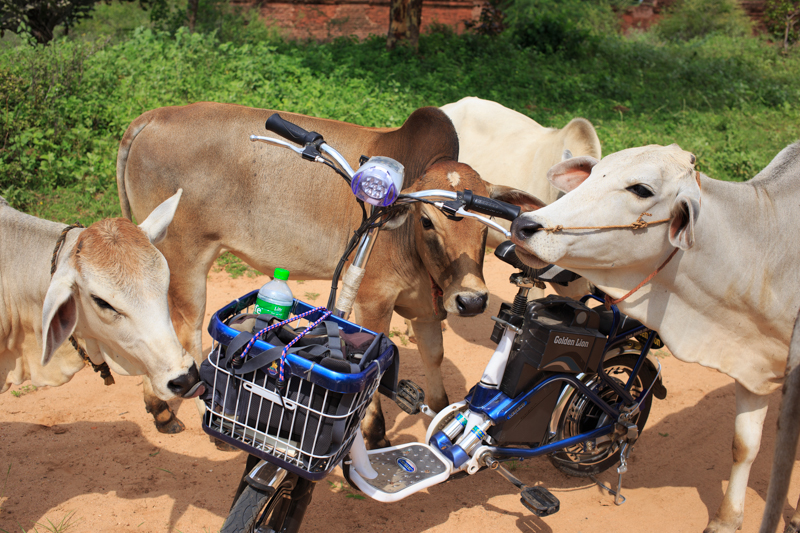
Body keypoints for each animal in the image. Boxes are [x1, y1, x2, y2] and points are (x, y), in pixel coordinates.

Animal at [117, 103, 544, 444]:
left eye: (486, 227)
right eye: (427, 221)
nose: (471, 300)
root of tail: (152, 116)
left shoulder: (425, 308)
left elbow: (435, 364)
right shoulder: (374, 298)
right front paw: (374, 435)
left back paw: (162, 410)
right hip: (185, 259)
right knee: (185, 330)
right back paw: (189, 410)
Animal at [510, 142, 800, 532]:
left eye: (641, 189)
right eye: (594, 172)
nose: (524, 224)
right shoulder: (750, 363)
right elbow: (744, 444)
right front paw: (726, 520)